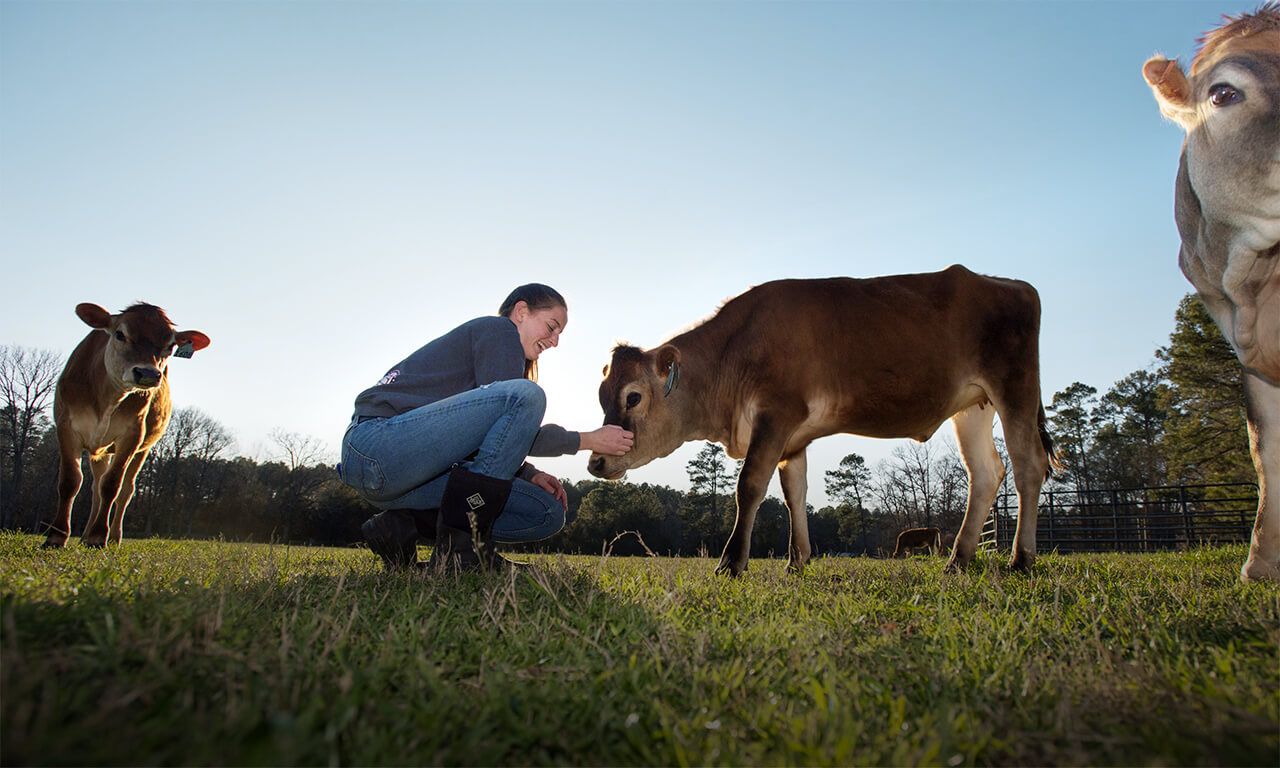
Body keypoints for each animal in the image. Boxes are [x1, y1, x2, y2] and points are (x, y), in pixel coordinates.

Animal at [44, 303, 209, 547]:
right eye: (120, 334)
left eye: (170, 346)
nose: (148, 373)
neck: (108, 397)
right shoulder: (66, 425)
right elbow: (70, 480)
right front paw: (56, 537)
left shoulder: (133, 435)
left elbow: (112, 485)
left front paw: (98, 537)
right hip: (100, 449)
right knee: (95, 486)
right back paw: (84, 536)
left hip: (144, 448)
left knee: (125, 490)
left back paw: (112, 537)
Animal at [588, 267, 1059, 573]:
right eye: (602, 396)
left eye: (633, 397)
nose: (596, 461)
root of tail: (1010, 283)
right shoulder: (793, 438)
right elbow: (794, 494)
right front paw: (797, 561)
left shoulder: (776, 414)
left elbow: (749, 486)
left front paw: (731, 562)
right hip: (973, 405)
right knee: (986, 472)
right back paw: (958, 560)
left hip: (1014, 388)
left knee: (1027, 465)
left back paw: (1020, 559)